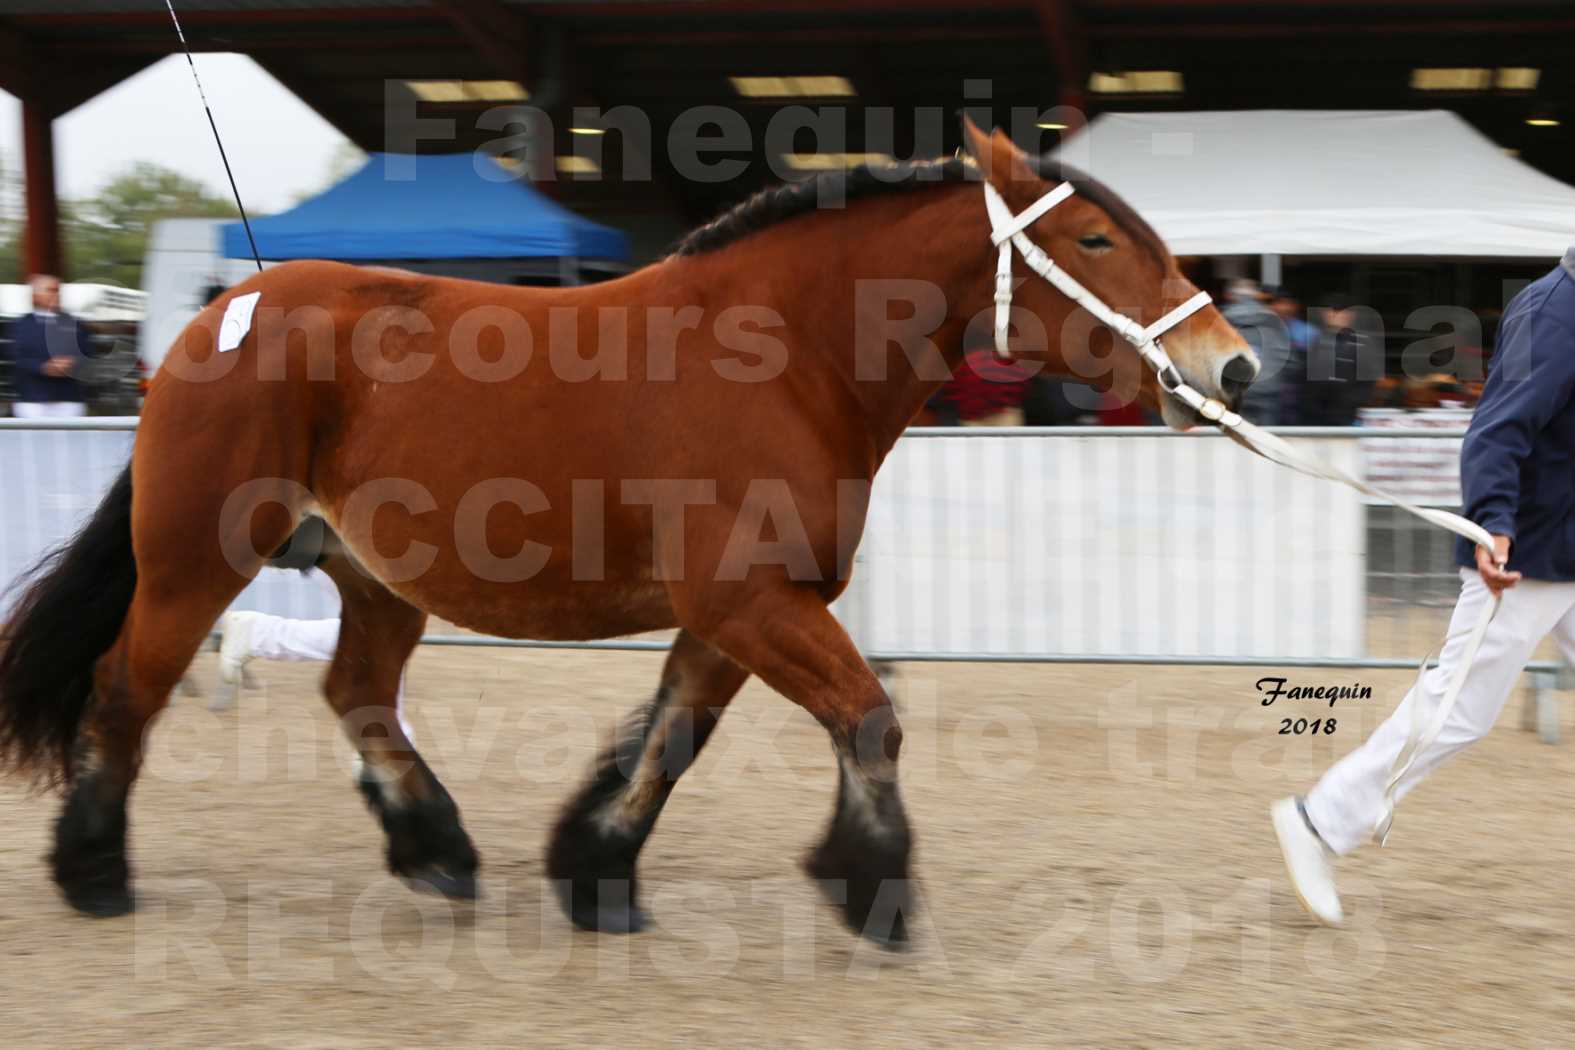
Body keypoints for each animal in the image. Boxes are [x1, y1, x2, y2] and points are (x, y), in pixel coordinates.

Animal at [0, 123, 1253, 950]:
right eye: (1095, 239)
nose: (1232, 365)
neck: (785, 358)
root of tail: (215, 314)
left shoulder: (743, 612)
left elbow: (669, 744)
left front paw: (598, 874)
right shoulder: (750, 602)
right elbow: (869, 720)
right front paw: (873, 889)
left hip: (376, 579)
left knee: (355, 693)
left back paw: (438, 850)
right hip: (193, 563)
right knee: (127, 690)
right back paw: (96, 870)